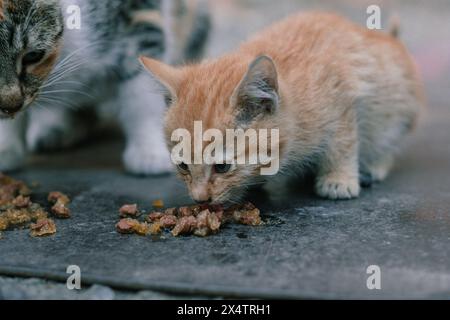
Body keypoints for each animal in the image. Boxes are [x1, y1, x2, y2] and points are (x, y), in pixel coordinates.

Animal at [142, 12, 426, 204]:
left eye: (222, 167)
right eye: (182, 165)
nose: (200, 199)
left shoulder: (343, 99)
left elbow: (342, 143)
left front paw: (339, 179)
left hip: (398, 109)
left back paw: (374, 164)